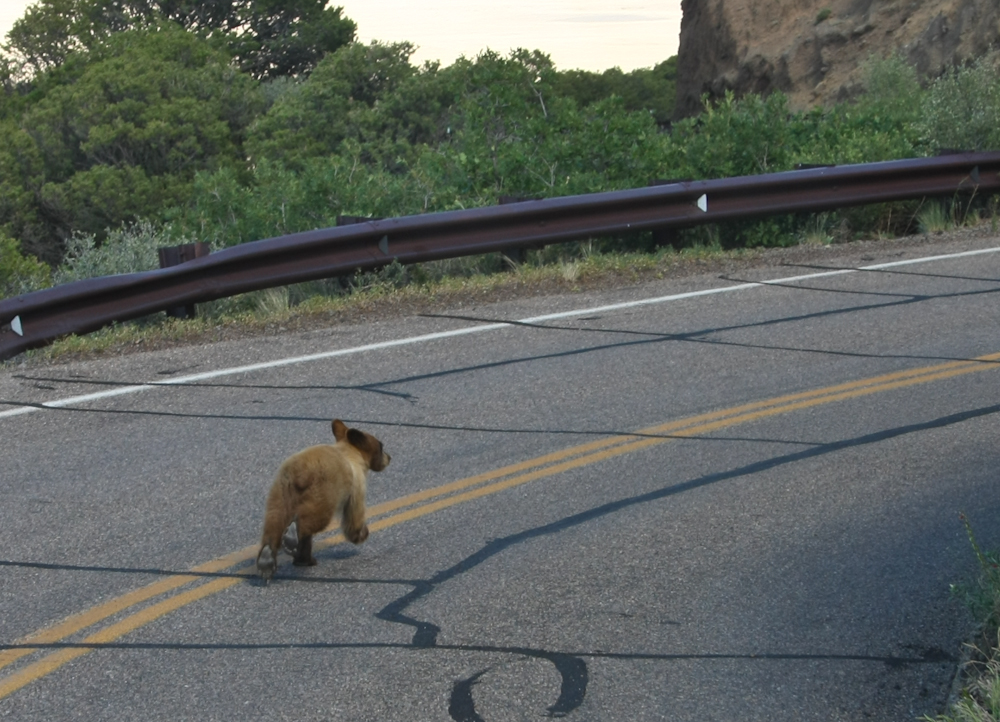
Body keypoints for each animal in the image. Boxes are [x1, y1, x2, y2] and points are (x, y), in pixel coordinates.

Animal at [256, 419, 391, 584]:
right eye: (381, 445)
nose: (389, 457)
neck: (350, 454)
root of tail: (301, 472)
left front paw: (303, 560)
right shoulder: (356, 483)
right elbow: (354, 514)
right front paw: (361, 533)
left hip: (281, 491)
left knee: (274, 521)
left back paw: (267, 559)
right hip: (323, 491)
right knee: (314, 519)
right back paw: (291, 537)